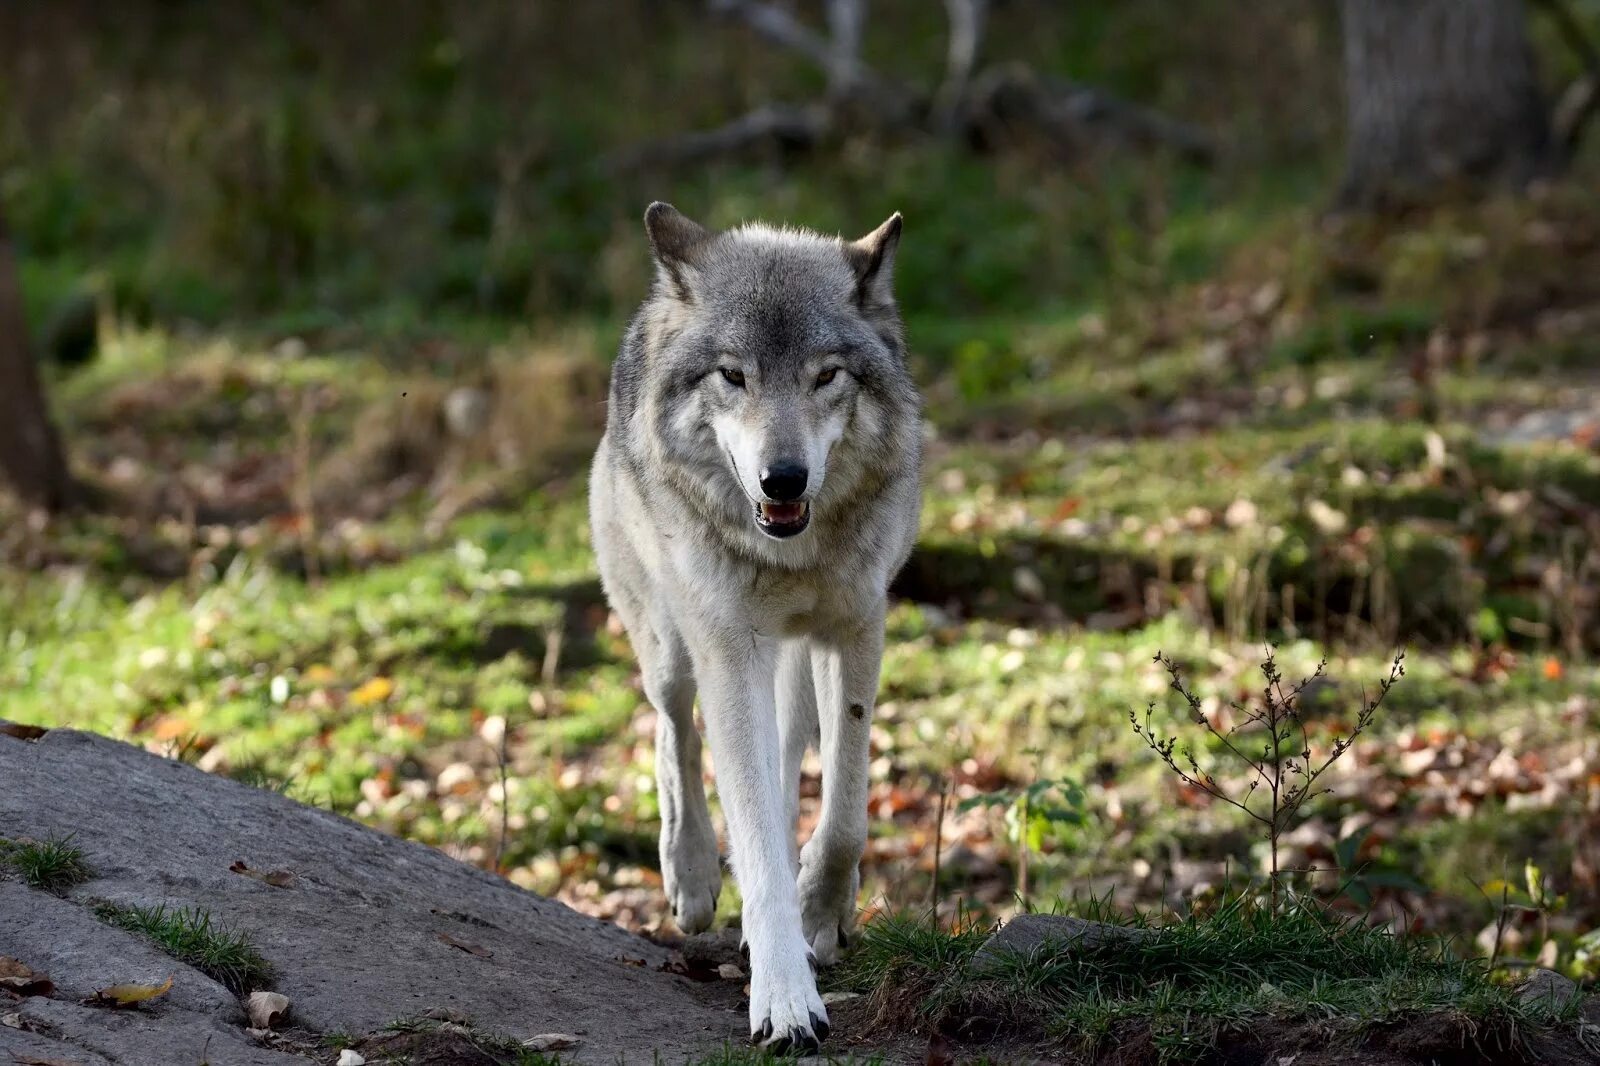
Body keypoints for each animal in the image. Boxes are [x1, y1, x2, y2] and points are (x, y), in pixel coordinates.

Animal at [588, 201, 921, 1043]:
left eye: (825, 375)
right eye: (732, 376)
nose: (784, 479)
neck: (791, 556)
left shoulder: (856, 628)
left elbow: (842, 813)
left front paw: (822, 914)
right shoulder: (729, 650)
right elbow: (754, 831)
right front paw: (784, 997)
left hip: (791, 662)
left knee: (786, 753)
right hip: (672, 642)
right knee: (674, 726)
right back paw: (692, 873)